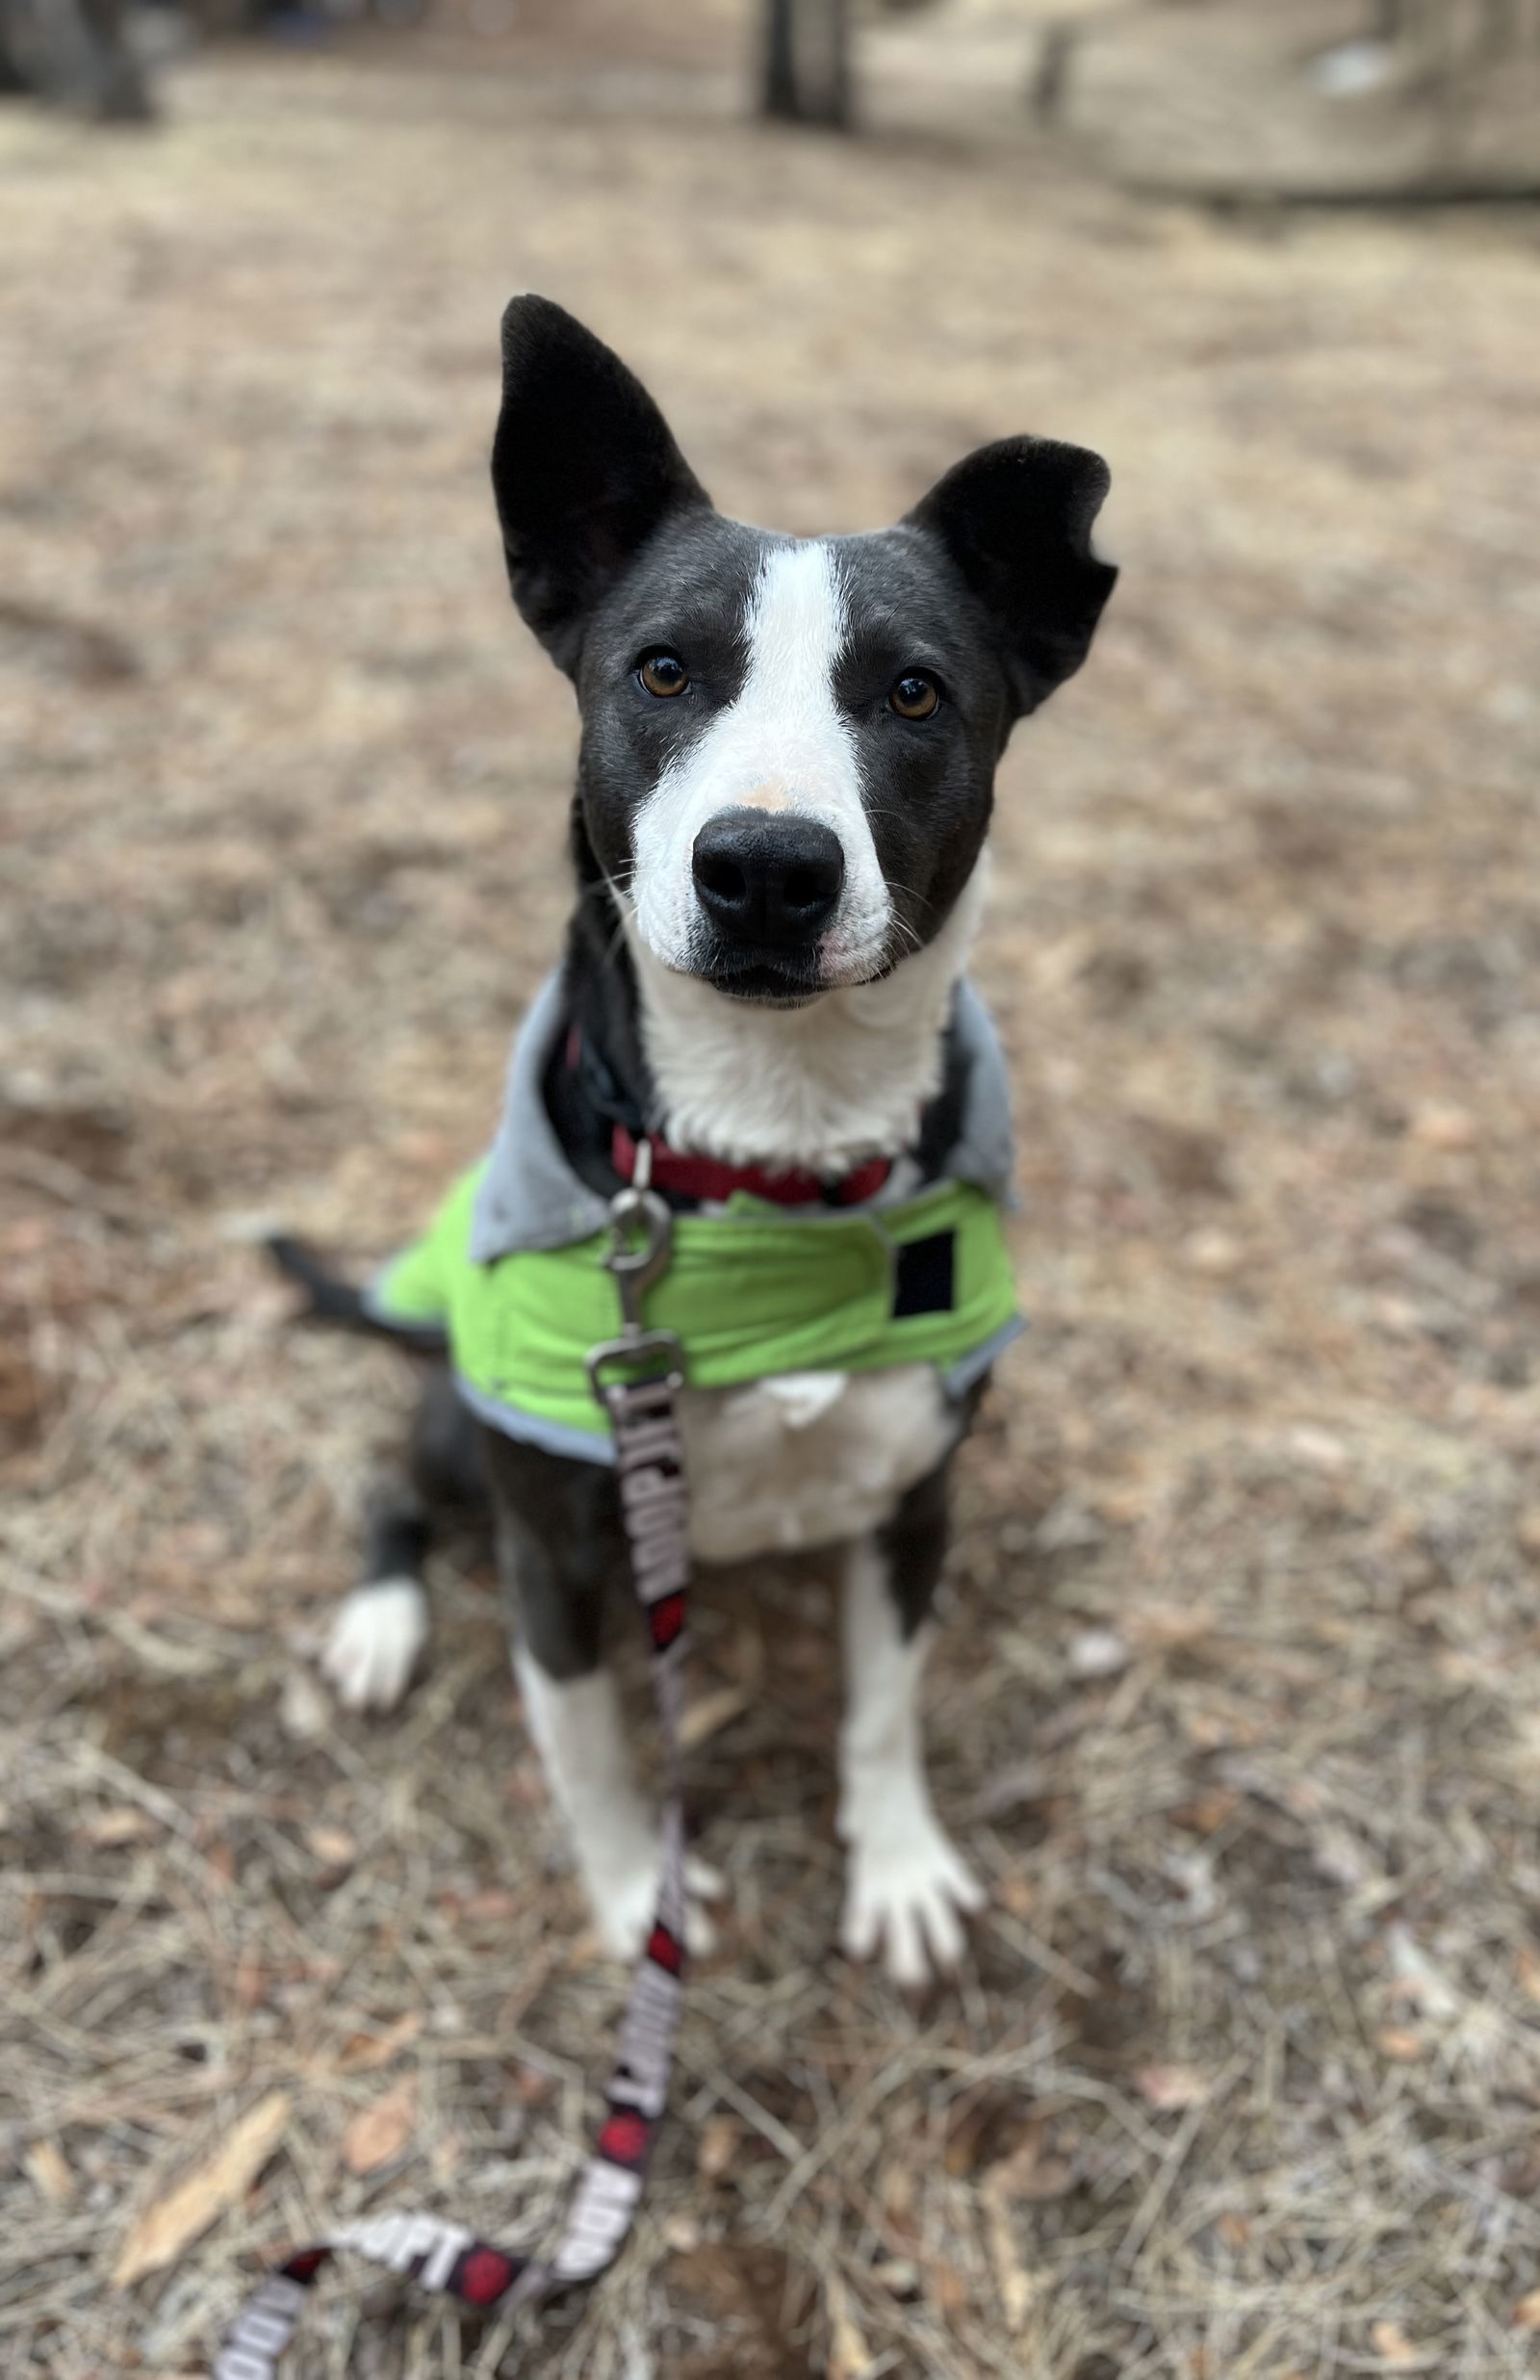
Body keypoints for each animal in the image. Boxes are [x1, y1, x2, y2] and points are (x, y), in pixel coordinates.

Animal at [314, 301, 1114, 1989]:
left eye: (916, 694)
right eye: (665, 670)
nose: (765, 868)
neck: (777, 1142)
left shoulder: (916, 1498)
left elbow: (883, 1711)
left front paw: (899, 1865)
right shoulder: (554, 1550)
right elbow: (596, 1752)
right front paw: (640, 1902)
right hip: (456, 1424)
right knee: (393, 1485)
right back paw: (381, 1621)